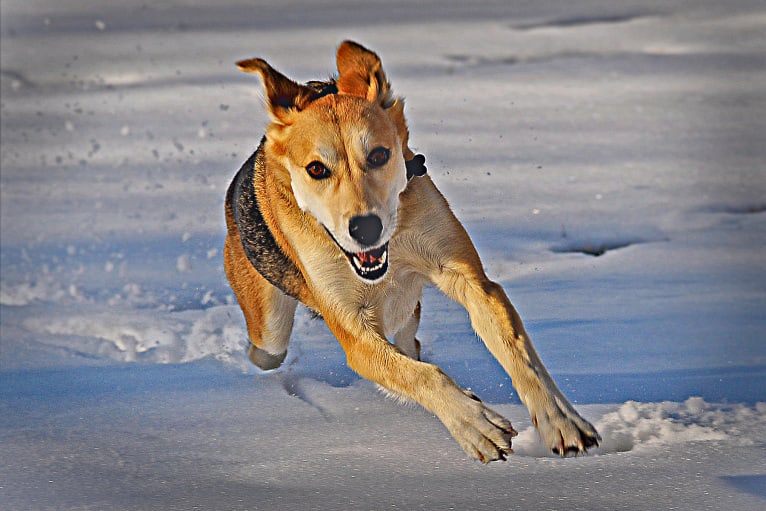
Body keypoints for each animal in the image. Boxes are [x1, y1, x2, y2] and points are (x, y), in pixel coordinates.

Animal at [225, 41, 604, 464]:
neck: (391, 249)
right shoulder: (354, 332)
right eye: (316, 169)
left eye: (378, 155)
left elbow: (517, 353)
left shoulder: (470, 280)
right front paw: (474, 424)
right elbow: (417, 374)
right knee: (270, 350)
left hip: (401, 313)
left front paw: (560, 421)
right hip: (269, 329)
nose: (365, 227)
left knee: (411, 342)